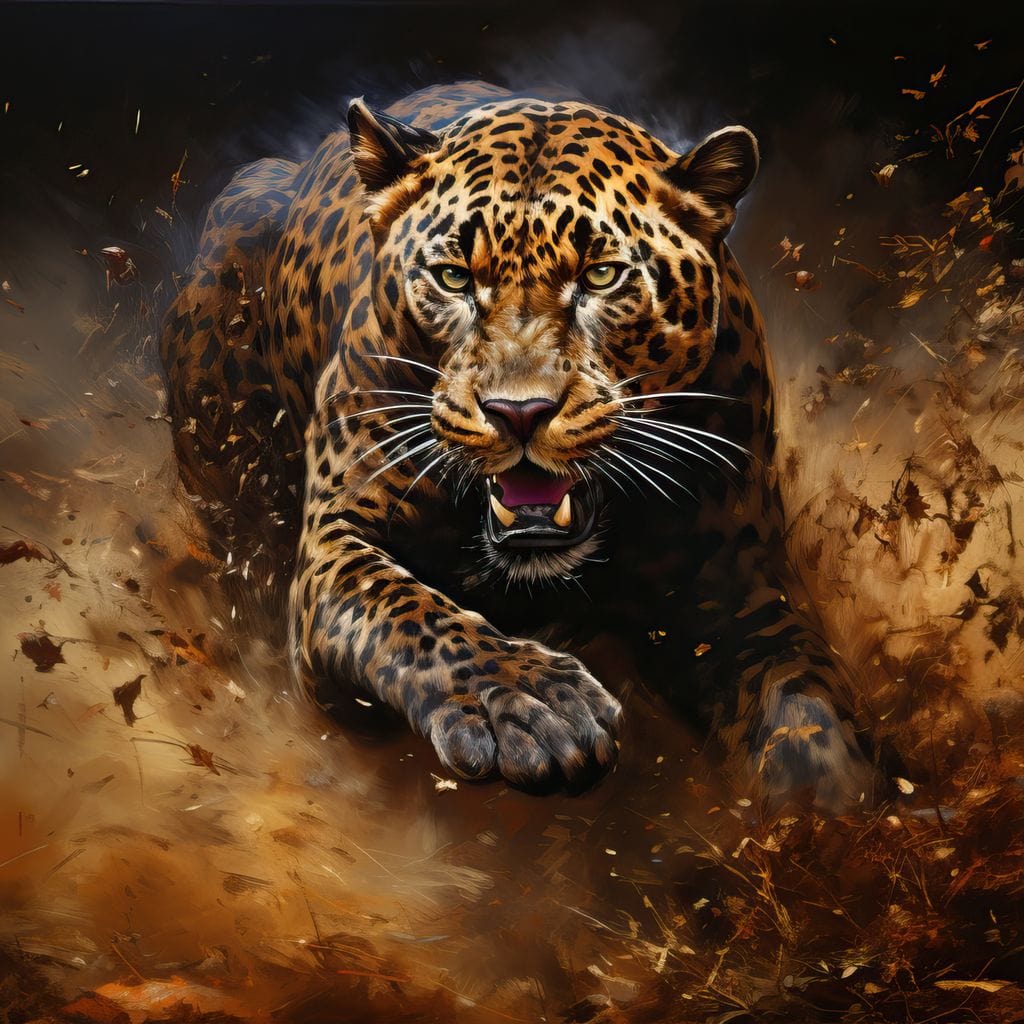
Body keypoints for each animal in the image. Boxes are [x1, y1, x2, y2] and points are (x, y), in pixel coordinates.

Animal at [160, 81, 874, 811]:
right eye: (453, 277)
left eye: (602, 276)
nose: (519, 412)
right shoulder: (336, 542)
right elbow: (411, 612)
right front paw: (536, 705)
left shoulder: (739, 581)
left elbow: (804, 701)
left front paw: (833, 806)